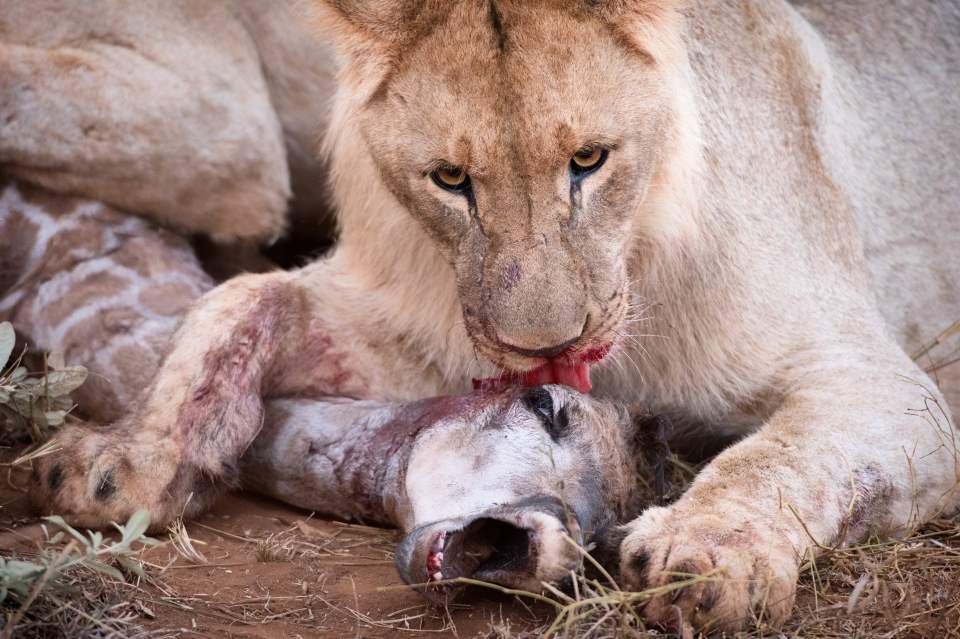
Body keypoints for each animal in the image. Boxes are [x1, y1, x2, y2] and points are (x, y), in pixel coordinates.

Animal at [3, 0, 956, 632]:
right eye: (450, 179)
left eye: (589, 159)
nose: (550, 345)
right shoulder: (427, 337)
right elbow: (236, 298)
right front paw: (126, 460)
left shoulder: (884, 384)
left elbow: (778, 453)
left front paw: (701, 551)